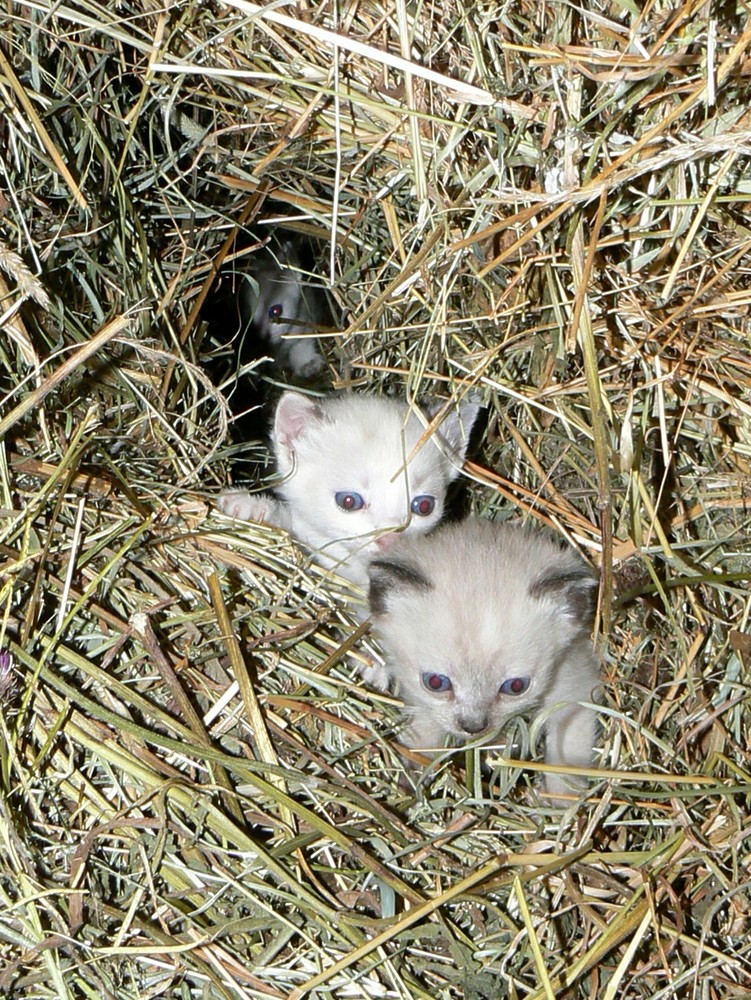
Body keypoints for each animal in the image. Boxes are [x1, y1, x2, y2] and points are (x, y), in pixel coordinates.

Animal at [368, 516, 604, 796]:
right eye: (435, 682)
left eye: (516, 686)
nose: (473, 727)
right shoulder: (421, 698)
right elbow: (423, 735)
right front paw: (412, 775)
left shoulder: (574, 687)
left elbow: (566, 756)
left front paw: (560, 801)